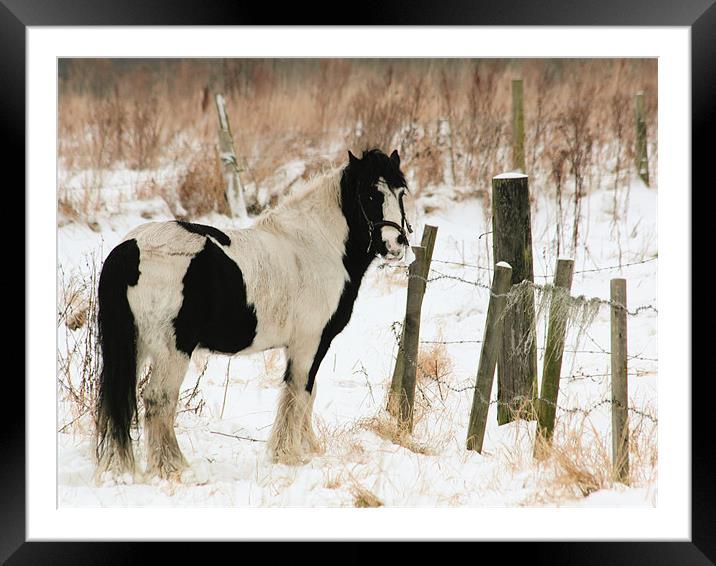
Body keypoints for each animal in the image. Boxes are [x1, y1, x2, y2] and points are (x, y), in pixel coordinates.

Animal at [93, 149, 414, 482]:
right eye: (370, 194)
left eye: (401, 193)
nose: (396, 244)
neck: (317, 247)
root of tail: (130, 249)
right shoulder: (310, 343)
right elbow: (299, 393)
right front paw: (290, 454)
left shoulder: (303, 345)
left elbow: (307, 394)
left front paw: (307, 448)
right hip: (172, 350)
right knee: (158, 399)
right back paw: (173, 467)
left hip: (137, 346)